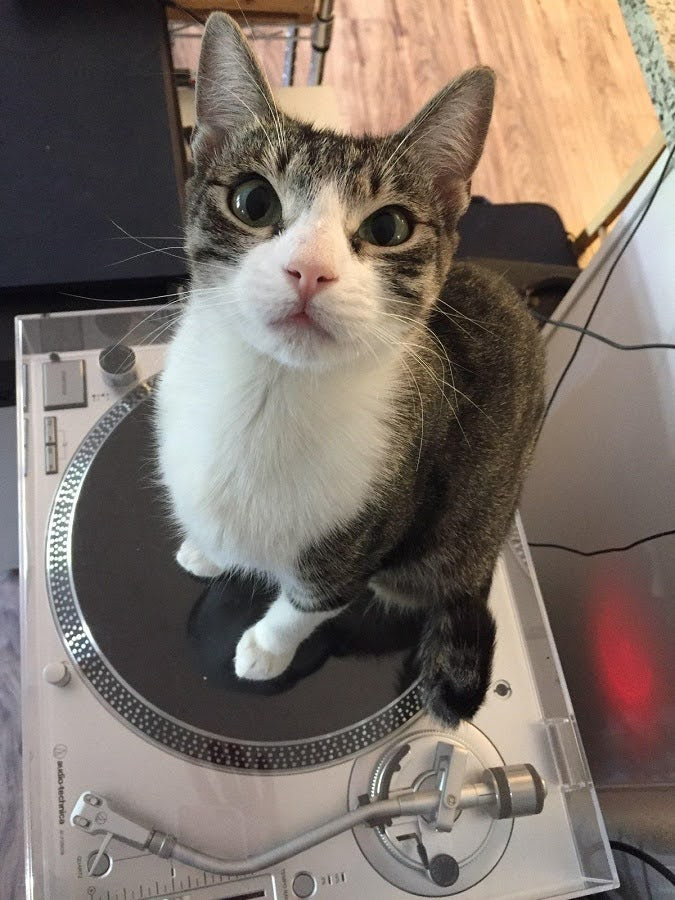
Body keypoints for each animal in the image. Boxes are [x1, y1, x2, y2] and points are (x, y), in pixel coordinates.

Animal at [156, 10, 548, 728]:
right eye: (253, 201)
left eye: (388, 226)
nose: (310, 270)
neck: (269, 394)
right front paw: (207, 546)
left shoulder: (368, 531)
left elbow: (312, 600)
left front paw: (265, 647)